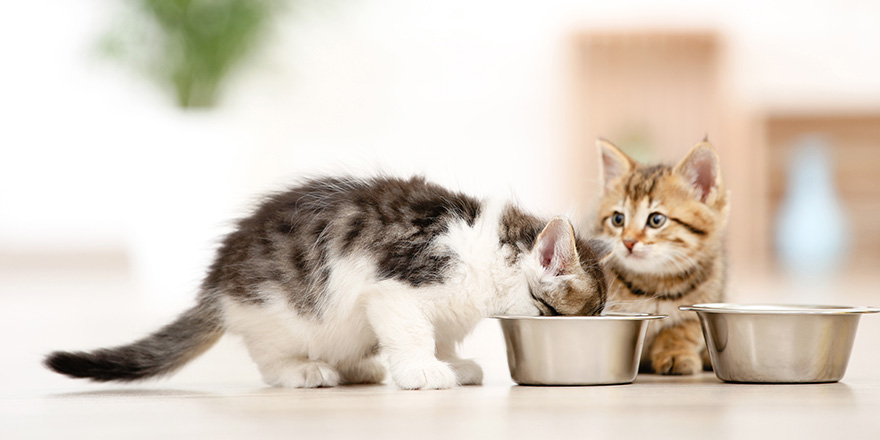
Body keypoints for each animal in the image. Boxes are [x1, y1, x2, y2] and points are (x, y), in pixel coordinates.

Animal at [44, 175, 608, 388]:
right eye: (587, 314)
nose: (600, 321)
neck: (490, 251)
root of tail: (217, 284)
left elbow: (443, 333)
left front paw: (452, 362)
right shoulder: (395, 289)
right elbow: (413, 332)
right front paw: (424, 371)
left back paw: (360, 367)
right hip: (278, 314)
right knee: (270, 360)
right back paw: (305, 371)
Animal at [600, 138, 728, 374]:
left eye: (656, 220)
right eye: (618, 219)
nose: (628, 242)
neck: (654, 283)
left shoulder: (707, 293)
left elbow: (683, 330)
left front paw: (676, 354)